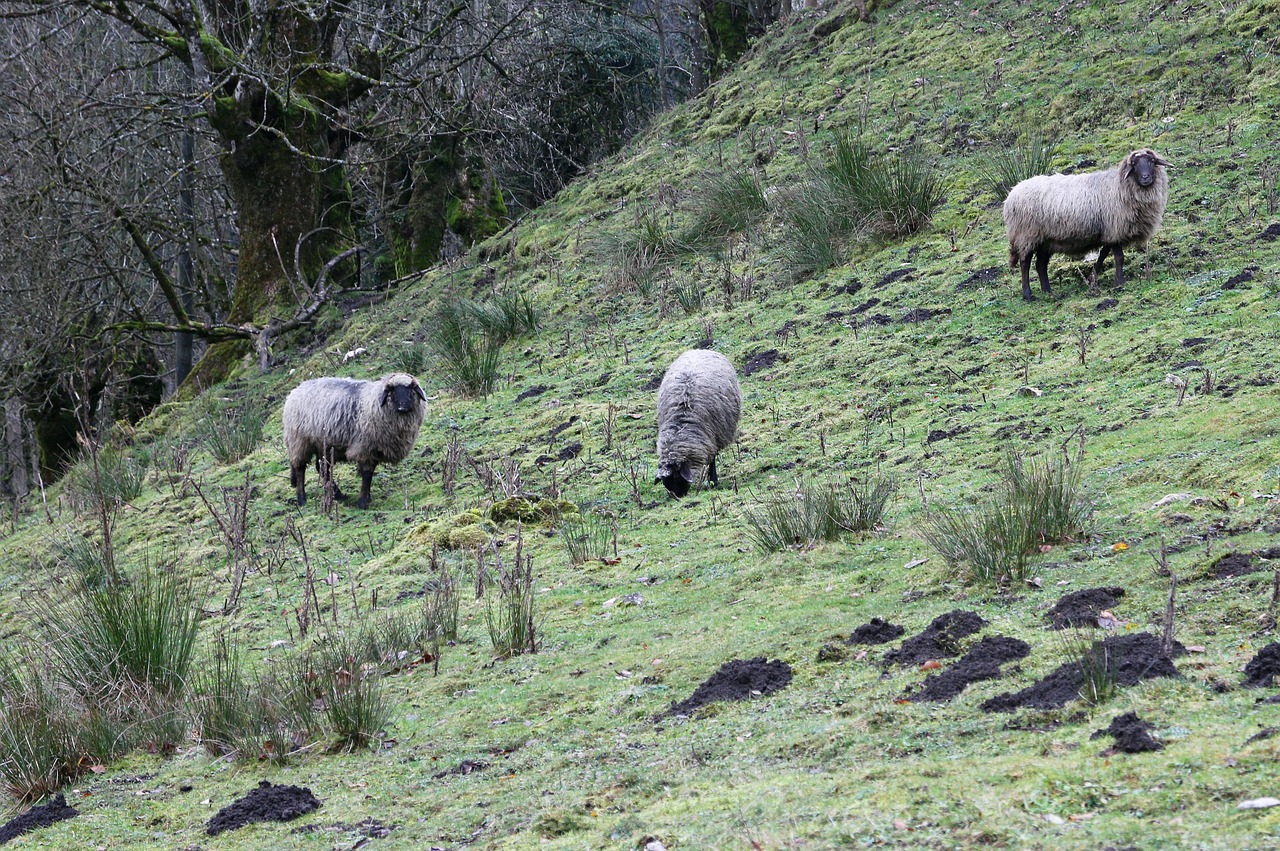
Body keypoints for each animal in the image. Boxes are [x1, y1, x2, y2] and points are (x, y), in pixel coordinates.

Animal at [282, 371, 427, 504]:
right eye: (392, 391)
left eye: (410, 390)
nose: (402, 406)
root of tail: (295, 390)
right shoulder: (364, 448)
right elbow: (367, 474)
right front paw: (362, 502)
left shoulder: (374, 449)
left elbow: (370, 472)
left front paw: (366, 498)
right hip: (299, 441)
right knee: (300, 468)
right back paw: (302, 499)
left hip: (323, 444)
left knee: (322, 468)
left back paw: (338, 495)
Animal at [655, 348, 747, 499]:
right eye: (665, 481)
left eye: (676, 477)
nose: (678, 497)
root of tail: (700, 349)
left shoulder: (713, 438)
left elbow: (712, 460)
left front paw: (713, 481)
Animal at [998, 147, 1172, 300]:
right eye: (1134, 164)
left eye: (1151, 161)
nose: (1145, 178)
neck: (1120, 186)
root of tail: (1012, 194)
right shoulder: (1115, 229)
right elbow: (1119, 257)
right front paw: (1119, 282)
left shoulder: (1109, 232)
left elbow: (1102, 255)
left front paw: (1092, 277)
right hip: (1026, 235)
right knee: (1025, 264)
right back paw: (1028, 295)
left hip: (1045, 240)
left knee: (1040, 265)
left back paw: (1048, 292)